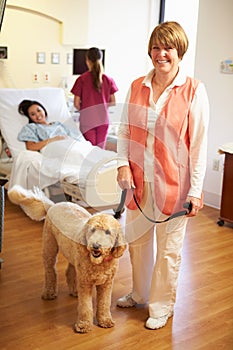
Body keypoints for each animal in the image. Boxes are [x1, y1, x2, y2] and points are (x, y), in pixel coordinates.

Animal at [8, 185, 126, 332]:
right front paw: (84, 325)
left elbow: (104, 303)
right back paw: (49, 293)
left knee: (69, 271)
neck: (98, 263)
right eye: (92, 230)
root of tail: (53, 205)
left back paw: (74, 291)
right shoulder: (85, 283)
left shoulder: (106, 284)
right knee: (50, 271)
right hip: (49, 247)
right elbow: (85, 306)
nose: (95, 246)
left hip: (72, 255)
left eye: (108, 232)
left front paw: (105, 320)